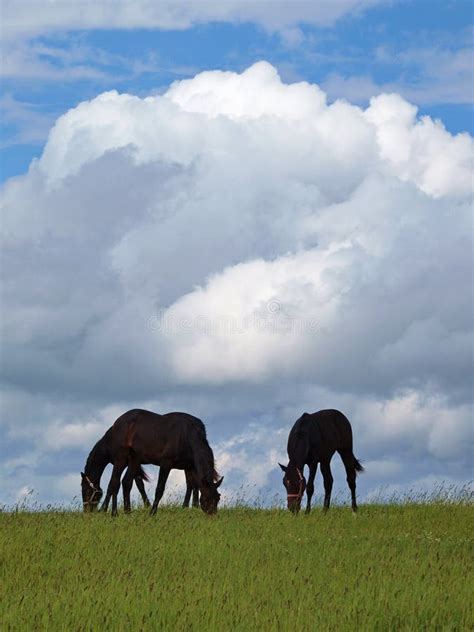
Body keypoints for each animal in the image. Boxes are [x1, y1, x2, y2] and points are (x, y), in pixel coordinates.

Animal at [81, 408, 222, 516]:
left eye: (218, 498)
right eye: (83, 488)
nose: (213, 516)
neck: (186, 436)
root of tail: (119, 422)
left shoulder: (190, 466)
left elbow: (192, 485)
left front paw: (187, 508)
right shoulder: (166, 464)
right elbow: (159, 488)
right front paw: (152, 512)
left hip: (134, 459)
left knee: (125, 482)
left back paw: (126, 512)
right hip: (122, 458)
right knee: (114, 483)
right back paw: (113, 512)